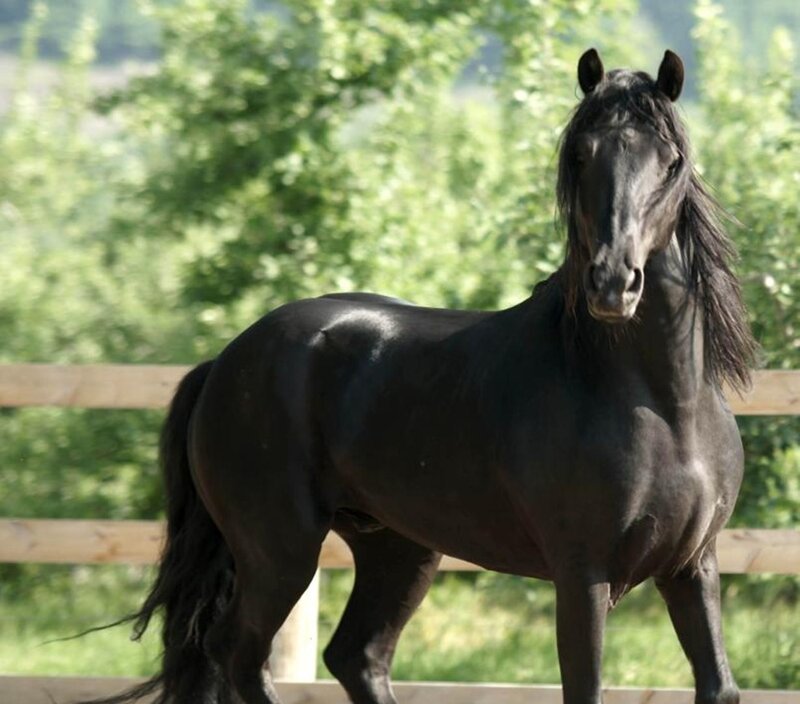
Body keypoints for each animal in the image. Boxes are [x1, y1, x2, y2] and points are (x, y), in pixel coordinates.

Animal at [84, 49, 756, 704]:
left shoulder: (692, 568)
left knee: (355, 655)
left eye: (670, 161)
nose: (614, 284)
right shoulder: (582, 573)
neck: (661, 406)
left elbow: (719, 687)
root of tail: (224, 362)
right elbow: (585, 689)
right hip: (280, 552)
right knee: (237, 657)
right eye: (581, 154)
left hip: (397, 550)